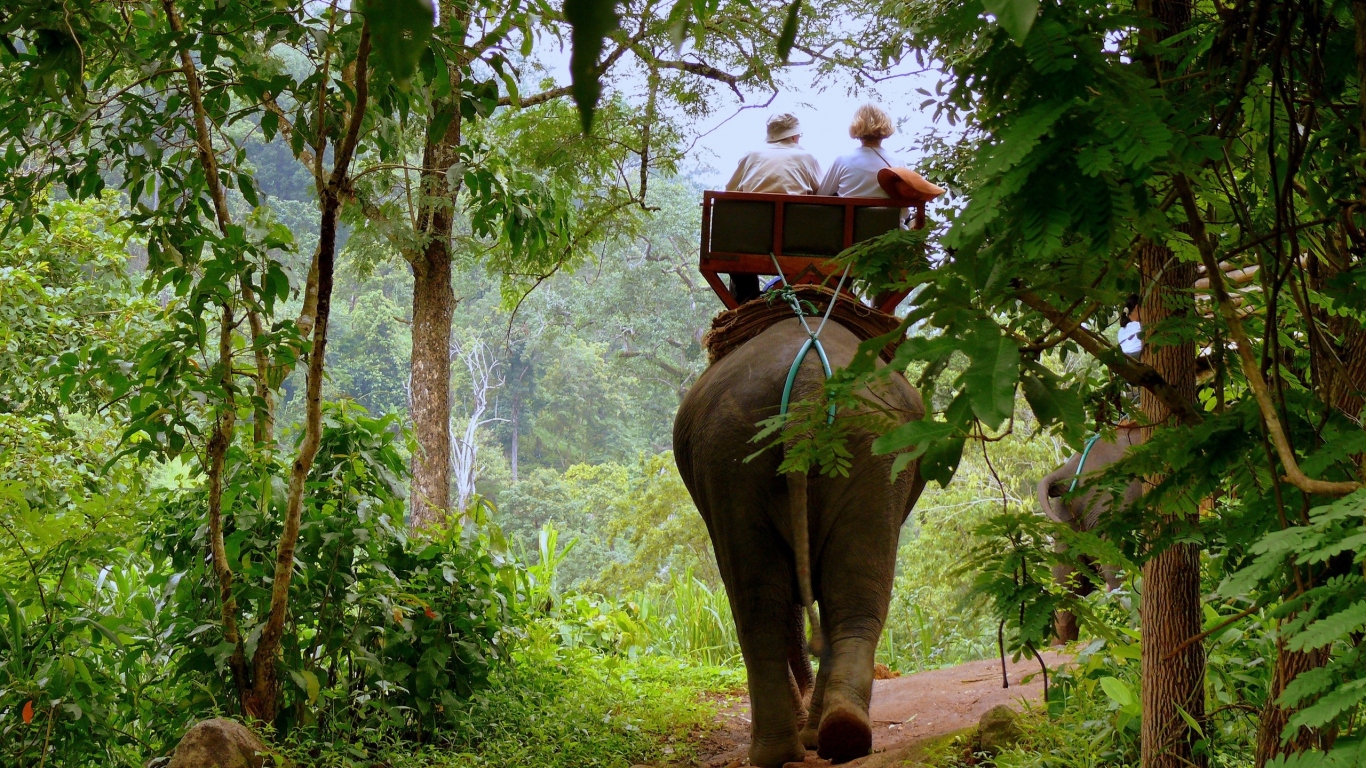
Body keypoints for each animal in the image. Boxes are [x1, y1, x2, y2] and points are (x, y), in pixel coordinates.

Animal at [673, 316, 926, 767]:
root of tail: (809, 379)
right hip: (856, 447)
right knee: (833, 600)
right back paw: (830, 736)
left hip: (744, 451)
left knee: (768, 604)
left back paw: (808, 741)